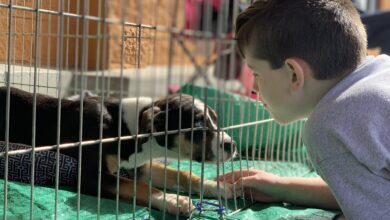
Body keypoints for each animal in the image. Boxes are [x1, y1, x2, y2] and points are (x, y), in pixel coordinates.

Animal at [0, 87, 238, 216]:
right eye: (198, 127)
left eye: (216, 120)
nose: (232, 145)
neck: (125, 129)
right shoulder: (90, 176)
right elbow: (137, 186)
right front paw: (173, 200)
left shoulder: (140, 166)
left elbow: (182, 174)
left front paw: (218, 186)